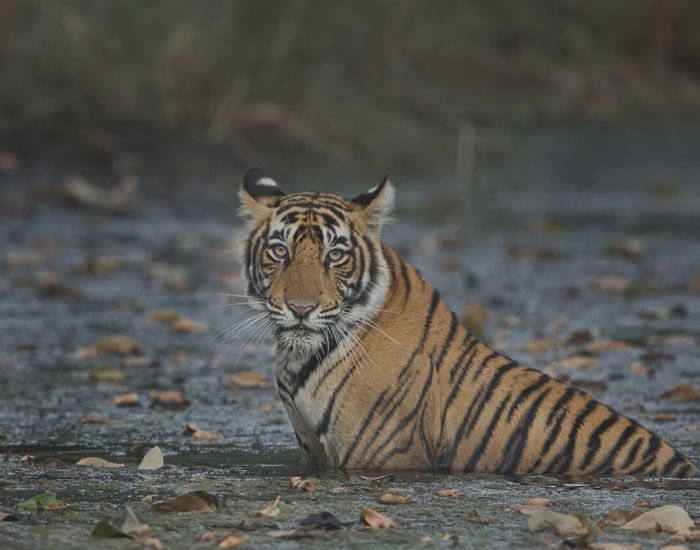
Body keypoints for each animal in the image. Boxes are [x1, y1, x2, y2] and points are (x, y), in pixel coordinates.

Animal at [238, 168, 696, 478]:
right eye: (279, 251)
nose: (300, 309)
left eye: (335, 256)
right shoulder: (313, 451)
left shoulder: (382, 456)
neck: (298, 358)